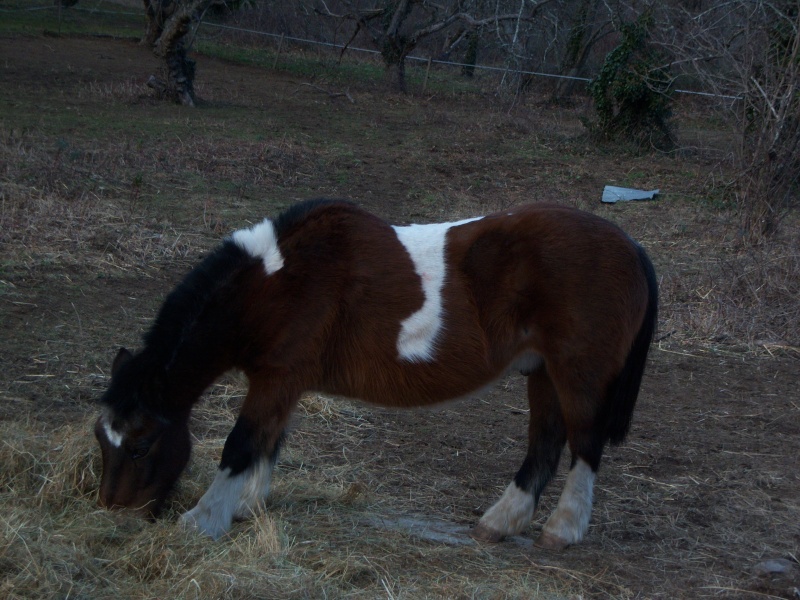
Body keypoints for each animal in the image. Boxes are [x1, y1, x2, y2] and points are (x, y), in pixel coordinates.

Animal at [95, 199, 656, 552]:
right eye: (102, 441)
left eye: (141, 445)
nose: (114, 513)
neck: (281, 280)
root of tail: (630, 245)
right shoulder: (283, 384)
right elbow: (267, 444)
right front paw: (247, 506)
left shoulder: (276, 378)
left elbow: (241, 445)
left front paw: (204, 520)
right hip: (542, 372)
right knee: (545, 444)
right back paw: (499, 523)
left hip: (577, 374)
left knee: (584, 446)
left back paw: (563, 530)